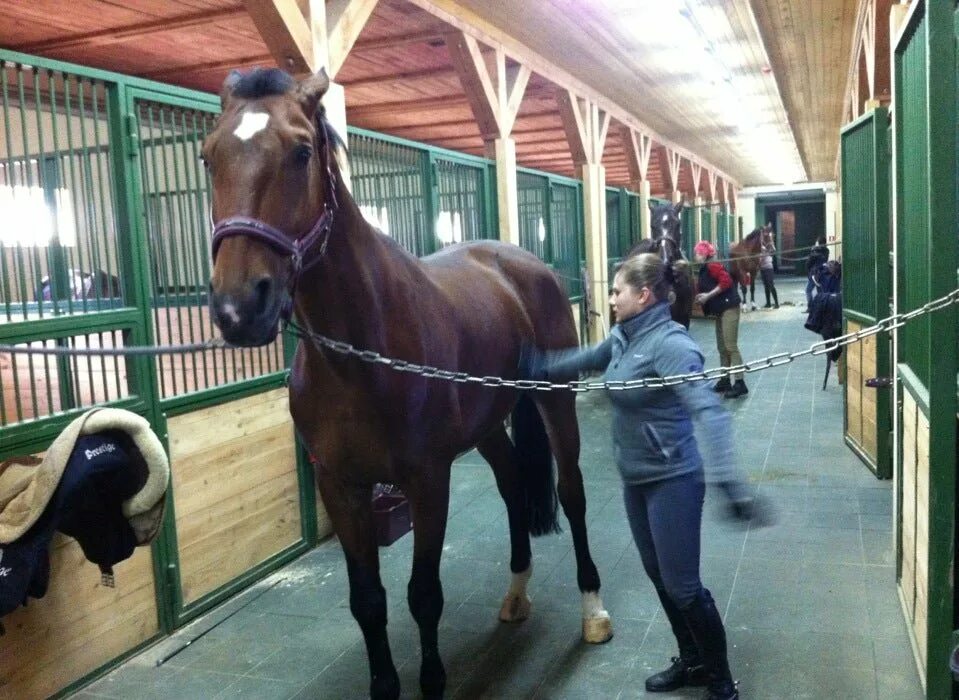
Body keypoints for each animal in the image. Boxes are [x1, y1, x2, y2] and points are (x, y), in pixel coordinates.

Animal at [205, 67, 612, 700]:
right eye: (208, 155)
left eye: (301, 152)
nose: (238, 309)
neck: (358, 356)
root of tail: (520, 262)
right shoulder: (340, 485)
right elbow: (368, 601)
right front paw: (385, 685)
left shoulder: (427, 479)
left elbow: (423, 596)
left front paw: (433, 681)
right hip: (487, 424)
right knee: (513, 485)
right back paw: (516, 595)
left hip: (556, 404)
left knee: (571, 491)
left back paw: (593, 610)